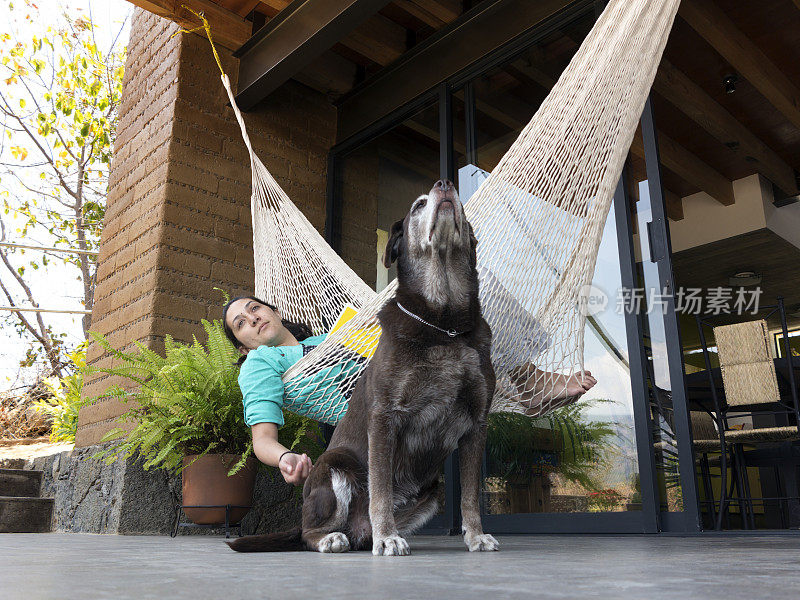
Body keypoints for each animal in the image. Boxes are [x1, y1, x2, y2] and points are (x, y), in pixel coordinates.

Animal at [228, 179, 496, 556]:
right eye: (418, 205)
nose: (445, 184)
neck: (443, 325)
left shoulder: (476, 423)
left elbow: (470, 495)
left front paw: (475, 536)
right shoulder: (385, 416)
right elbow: (380, 489)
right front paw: (388, 538)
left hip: (430, 494)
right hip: (334, 465)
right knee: (310, 533)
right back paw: (334, 538)